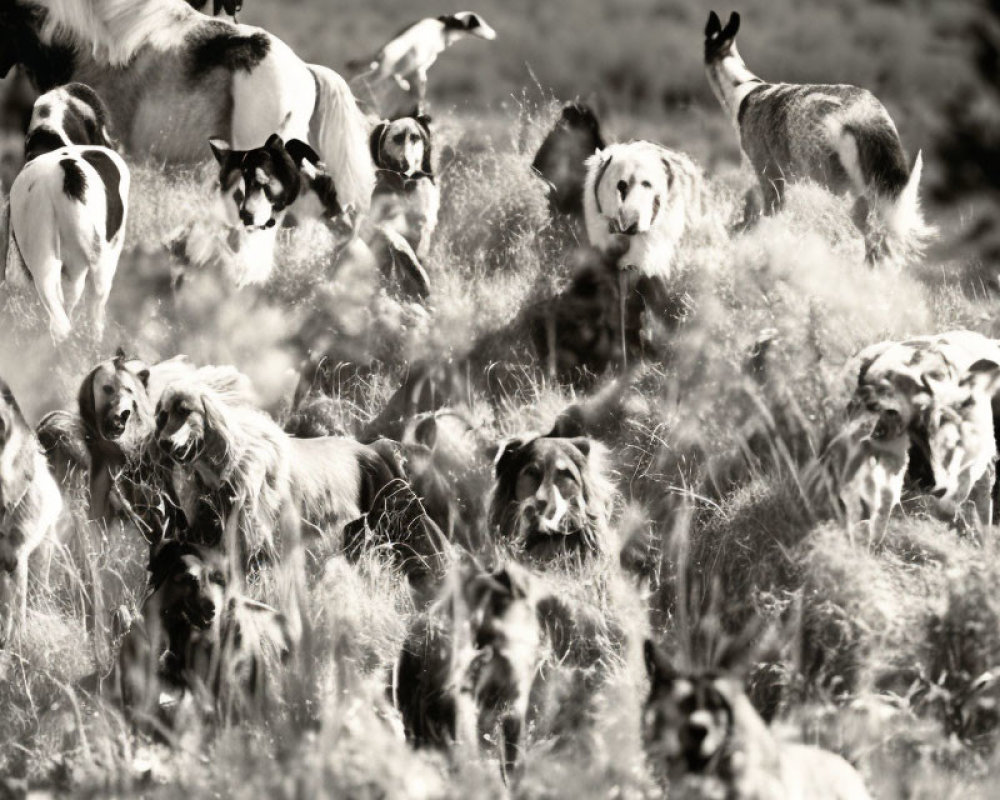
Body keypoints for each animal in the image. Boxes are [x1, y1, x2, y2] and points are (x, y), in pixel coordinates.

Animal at [704, 10, 928, 266]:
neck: (743, 90)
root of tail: (865, 119)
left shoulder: (767, 172)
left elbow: (768, 217)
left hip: (835, 183)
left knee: (871, 235)